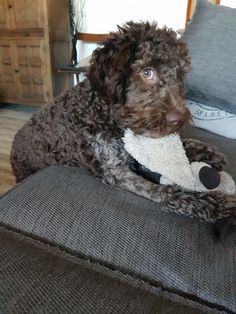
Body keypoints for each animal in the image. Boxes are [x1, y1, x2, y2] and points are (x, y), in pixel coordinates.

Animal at [11, 21, 236, 223]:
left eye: (179, 75)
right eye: (147, 72)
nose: (178, 120)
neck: (101, 112)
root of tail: (15, 140)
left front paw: (205, 151)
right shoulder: (115, 171)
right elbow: (161, 190)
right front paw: (208, 203)